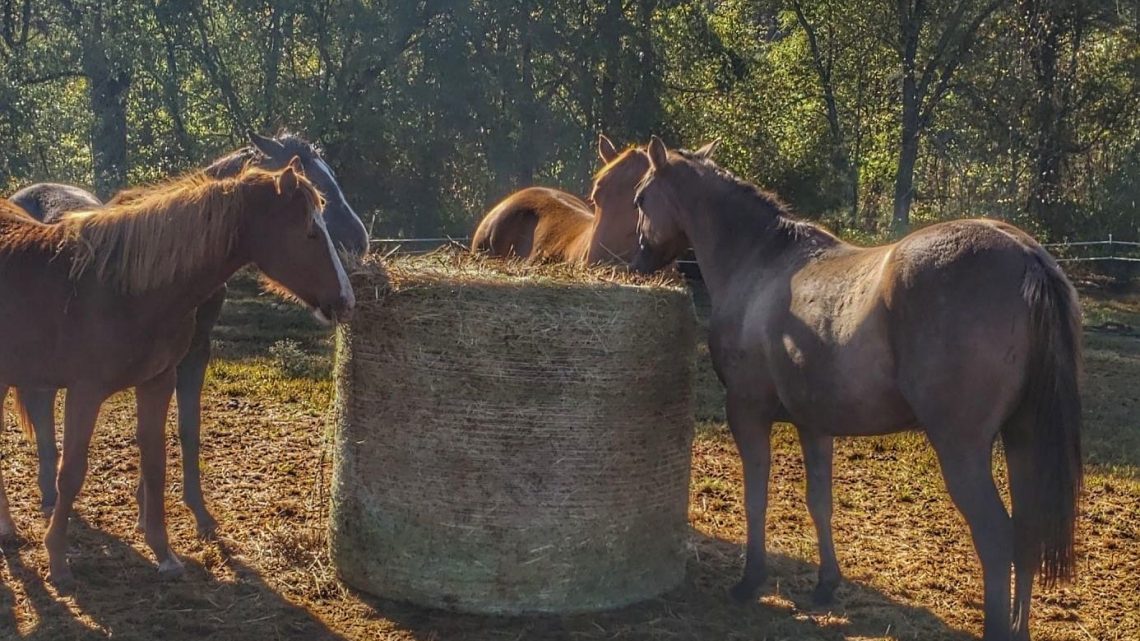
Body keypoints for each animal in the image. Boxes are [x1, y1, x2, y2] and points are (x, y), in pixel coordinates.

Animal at [0, 157, 351, 588]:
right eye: (310, 232)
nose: (345, 300)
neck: (123, 289)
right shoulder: (85, 391)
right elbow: (72, 472)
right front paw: (58, 561)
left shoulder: (158, 382)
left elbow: (155, 462)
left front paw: (163, 552)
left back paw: (7, 529)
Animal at [638, 135, 1080, 638]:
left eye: (640, 198)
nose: (638, 258)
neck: (761, 263)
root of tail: (1026, 254)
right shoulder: (814, 425)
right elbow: (819, 502)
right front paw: (825, 584)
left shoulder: (747, 413)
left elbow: (756, 498)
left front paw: (751, 581)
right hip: (1022, 435)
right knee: (1027, 534)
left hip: (962, 447)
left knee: (996, 537)